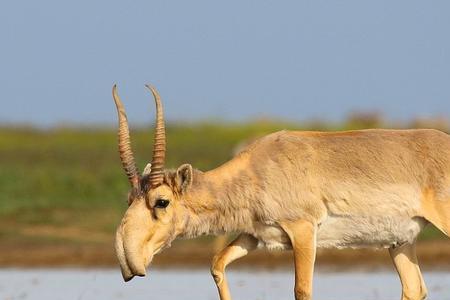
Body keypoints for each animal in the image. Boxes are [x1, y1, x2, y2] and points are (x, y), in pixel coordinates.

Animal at [113, 85, 450, 300]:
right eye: (129, 199)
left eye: (161, 201)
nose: (129, 262)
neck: (257, 169)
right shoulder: (254, 235)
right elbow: (217, 265)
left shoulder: (303, 231)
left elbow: (302, 290)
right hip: (400, 242)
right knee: (414, 289)